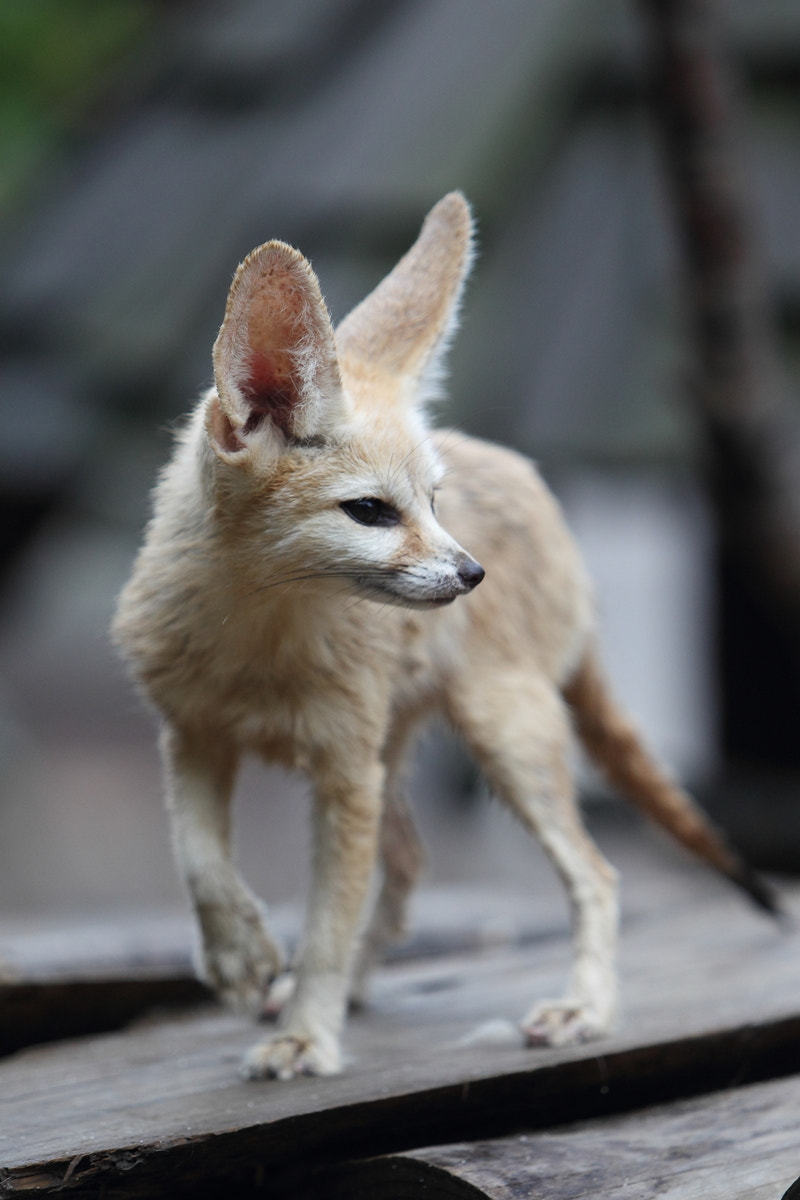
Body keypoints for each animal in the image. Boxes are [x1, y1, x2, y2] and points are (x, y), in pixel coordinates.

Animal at [113, 191, 777, 1082]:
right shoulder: (192, 735)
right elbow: (201, 862)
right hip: (398, 757)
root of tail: (535, 484)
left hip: (505, 740)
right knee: (405, 877)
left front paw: (309, 1035)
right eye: (370, 512)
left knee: (596, 874)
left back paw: (585, 1009)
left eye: (432, 501)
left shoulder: (342, 773)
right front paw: (239, 958)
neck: (256, 643)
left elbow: (326, 924)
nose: (471, 574)